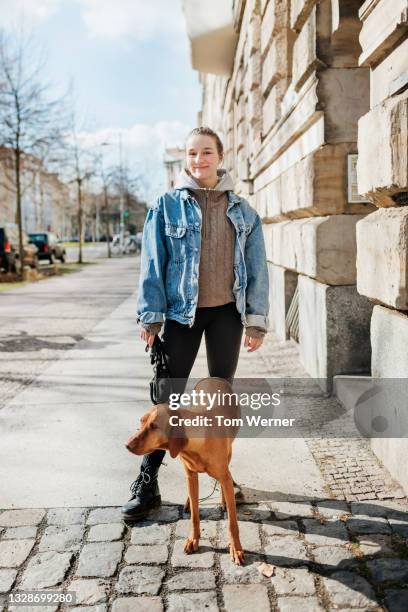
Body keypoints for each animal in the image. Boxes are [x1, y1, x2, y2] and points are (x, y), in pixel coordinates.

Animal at [126, 376, 244, 568]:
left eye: (154, 426)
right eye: (141, 422)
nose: (127, 444)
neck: (197, 443)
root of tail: (213, 378)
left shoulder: (224, 474)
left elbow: (232, 523)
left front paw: (236, 548)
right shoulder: (190, 475)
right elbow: (195, 516)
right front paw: (193, 540)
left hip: (229, 453)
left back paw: (224, 500)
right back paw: (189, 502)